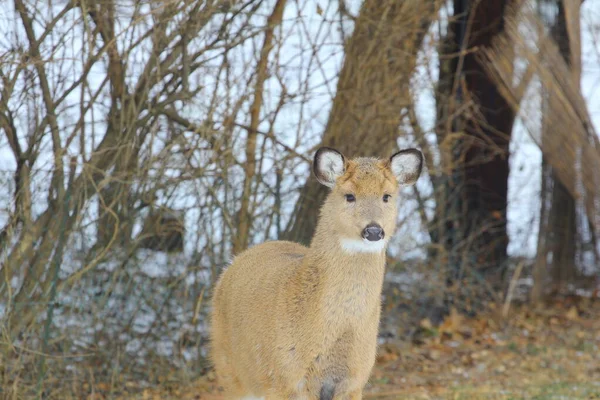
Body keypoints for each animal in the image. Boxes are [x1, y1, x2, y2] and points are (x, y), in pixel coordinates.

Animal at [210, 147, 422, 400]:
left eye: (387, 196)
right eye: (349, 196)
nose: (373, 230)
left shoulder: (354, 380)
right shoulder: (287, 379)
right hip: (230, 370)